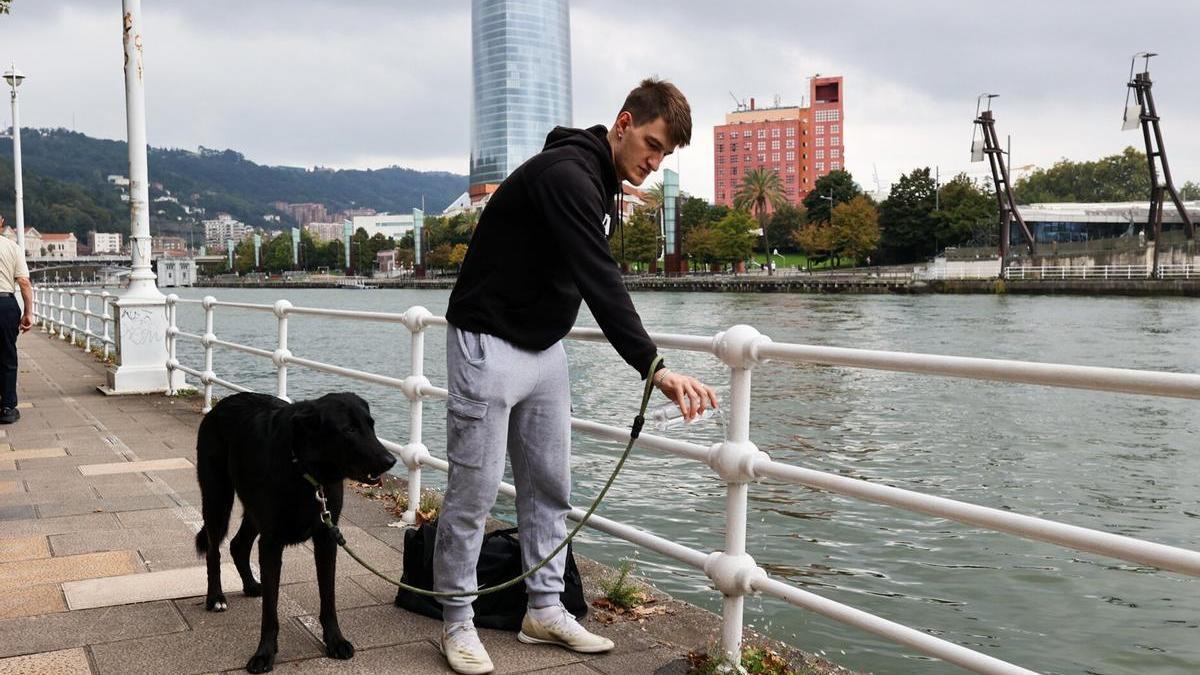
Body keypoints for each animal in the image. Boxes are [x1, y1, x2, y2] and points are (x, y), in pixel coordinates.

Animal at [194, 391, 396, 667]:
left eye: (371, 425)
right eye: (349, 429)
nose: (391, 461)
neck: (305, 471)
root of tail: (220, 405)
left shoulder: (326, 538)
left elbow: (328, 598)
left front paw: (335, 641)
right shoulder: (271, 543)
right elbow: (270, 610)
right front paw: (265, 653)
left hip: (252, 512)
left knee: (238, 545)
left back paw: (250, 585)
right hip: (218, 499)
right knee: (214, 551)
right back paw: (215, 598)